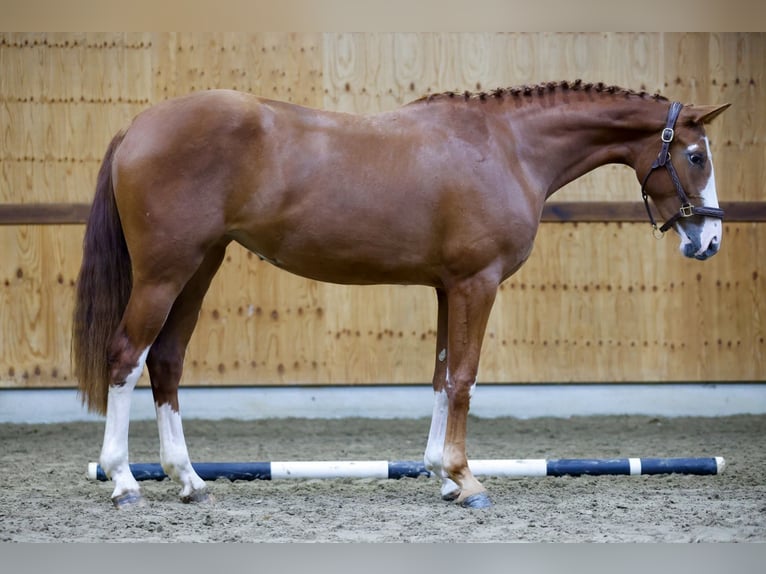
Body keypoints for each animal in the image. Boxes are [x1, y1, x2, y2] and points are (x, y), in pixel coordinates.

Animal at [73, 81, 732, 508]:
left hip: (198, 268)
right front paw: (467, 481)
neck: (507, 147)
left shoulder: (447, 287)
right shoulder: (476, 284)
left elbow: (441, 376)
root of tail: (137, 126)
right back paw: (125, 482)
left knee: (165, 361)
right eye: (694, 156)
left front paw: (442, 474)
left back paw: (188, 480)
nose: (709, 240)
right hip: (165, 272)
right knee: (126, 357)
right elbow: (464, 377)